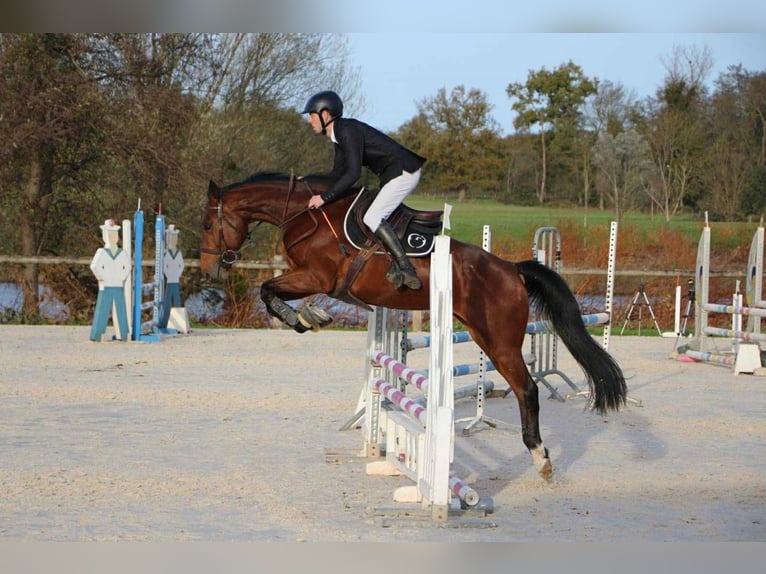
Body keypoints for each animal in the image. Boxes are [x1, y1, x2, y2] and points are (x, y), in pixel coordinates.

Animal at [199, 171, 627, 480]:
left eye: (205, 224)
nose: (208, 269)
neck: (305, 215)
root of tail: (512, 269)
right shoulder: (313, 280)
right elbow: (270, 291)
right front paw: (312, 316)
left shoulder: (315, 277)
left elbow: (267, 289)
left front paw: (304, 319)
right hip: (485, 335)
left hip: (500, 341)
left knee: (528, 389)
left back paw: (540, 459)